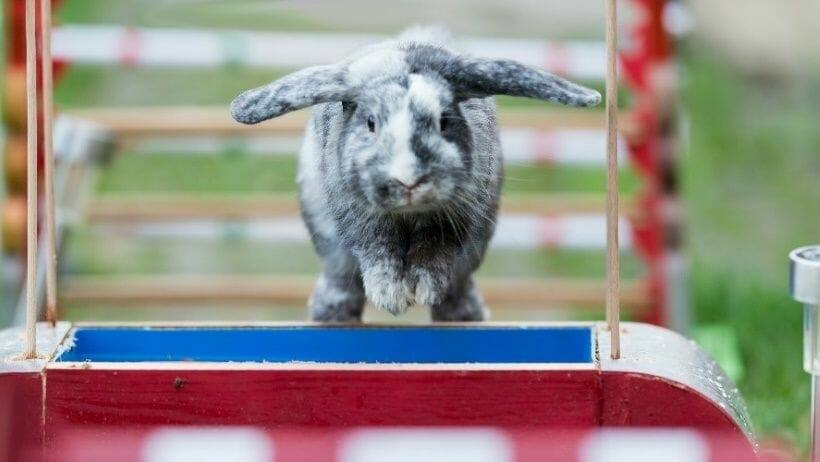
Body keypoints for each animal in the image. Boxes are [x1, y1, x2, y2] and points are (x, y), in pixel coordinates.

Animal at [231, 26, 604, 322]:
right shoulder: (362, 221)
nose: (408, 181)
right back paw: (330, 315)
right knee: (341, 279)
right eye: (370, 123)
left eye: (443, 121)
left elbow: (433, 254)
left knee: (460, 283)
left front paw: (422, 291)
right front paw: (392, 299)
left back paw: (465, 315)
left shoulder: (454, 220)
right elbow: (378, 252)